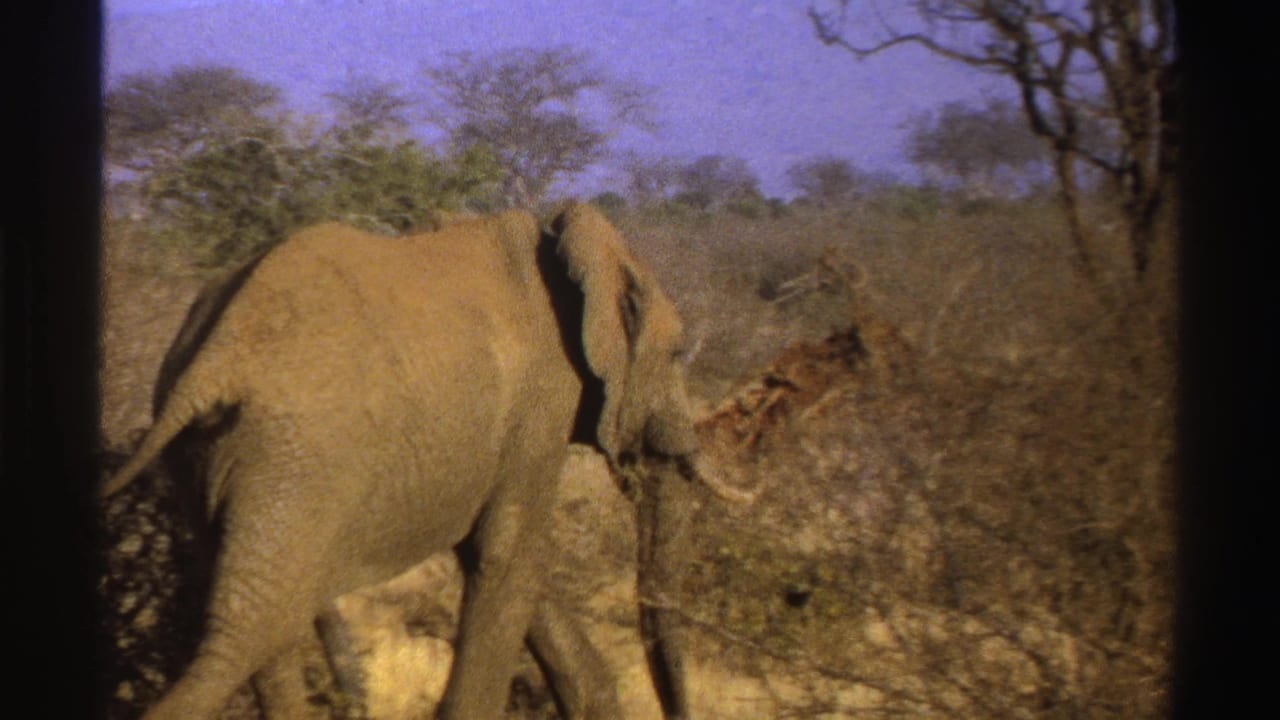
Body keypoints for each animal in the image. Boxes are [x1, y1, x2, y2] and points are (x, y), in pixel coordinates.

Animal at [101, 203, 754, 720]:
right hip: (300, 457)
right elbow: (508, 554)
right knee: (250, 631)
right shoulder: (542, 401)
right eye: (677, 354)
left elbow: (501, 557)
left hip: (221, 455)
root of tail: (215, 358)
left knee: (255, 628)